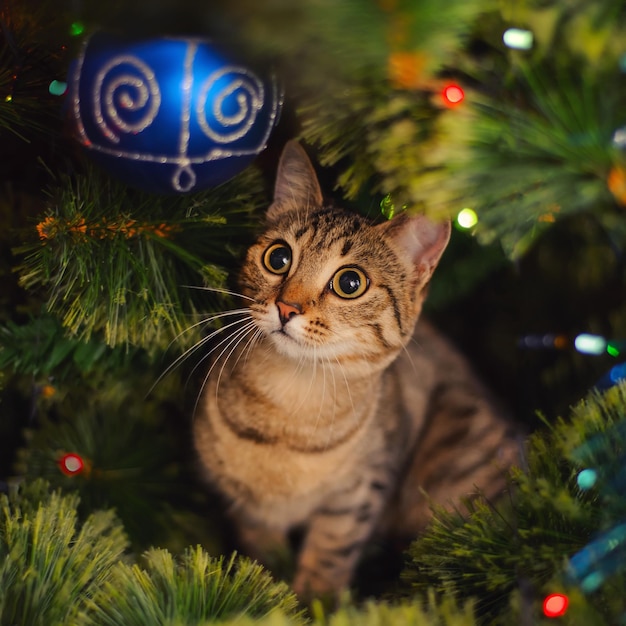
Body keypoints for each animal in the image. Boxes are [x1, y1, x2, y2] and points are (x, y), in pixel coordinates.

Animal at [193, 139, 520, 596]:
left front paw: (311, 601)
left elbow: (329, 557)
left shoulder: (358, 496)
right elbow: (263, 554)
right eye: (278, 257)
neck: (290, 409)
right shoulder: (243, 503)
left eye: (350, 283)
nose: (286, 307)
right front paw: (267, 590)